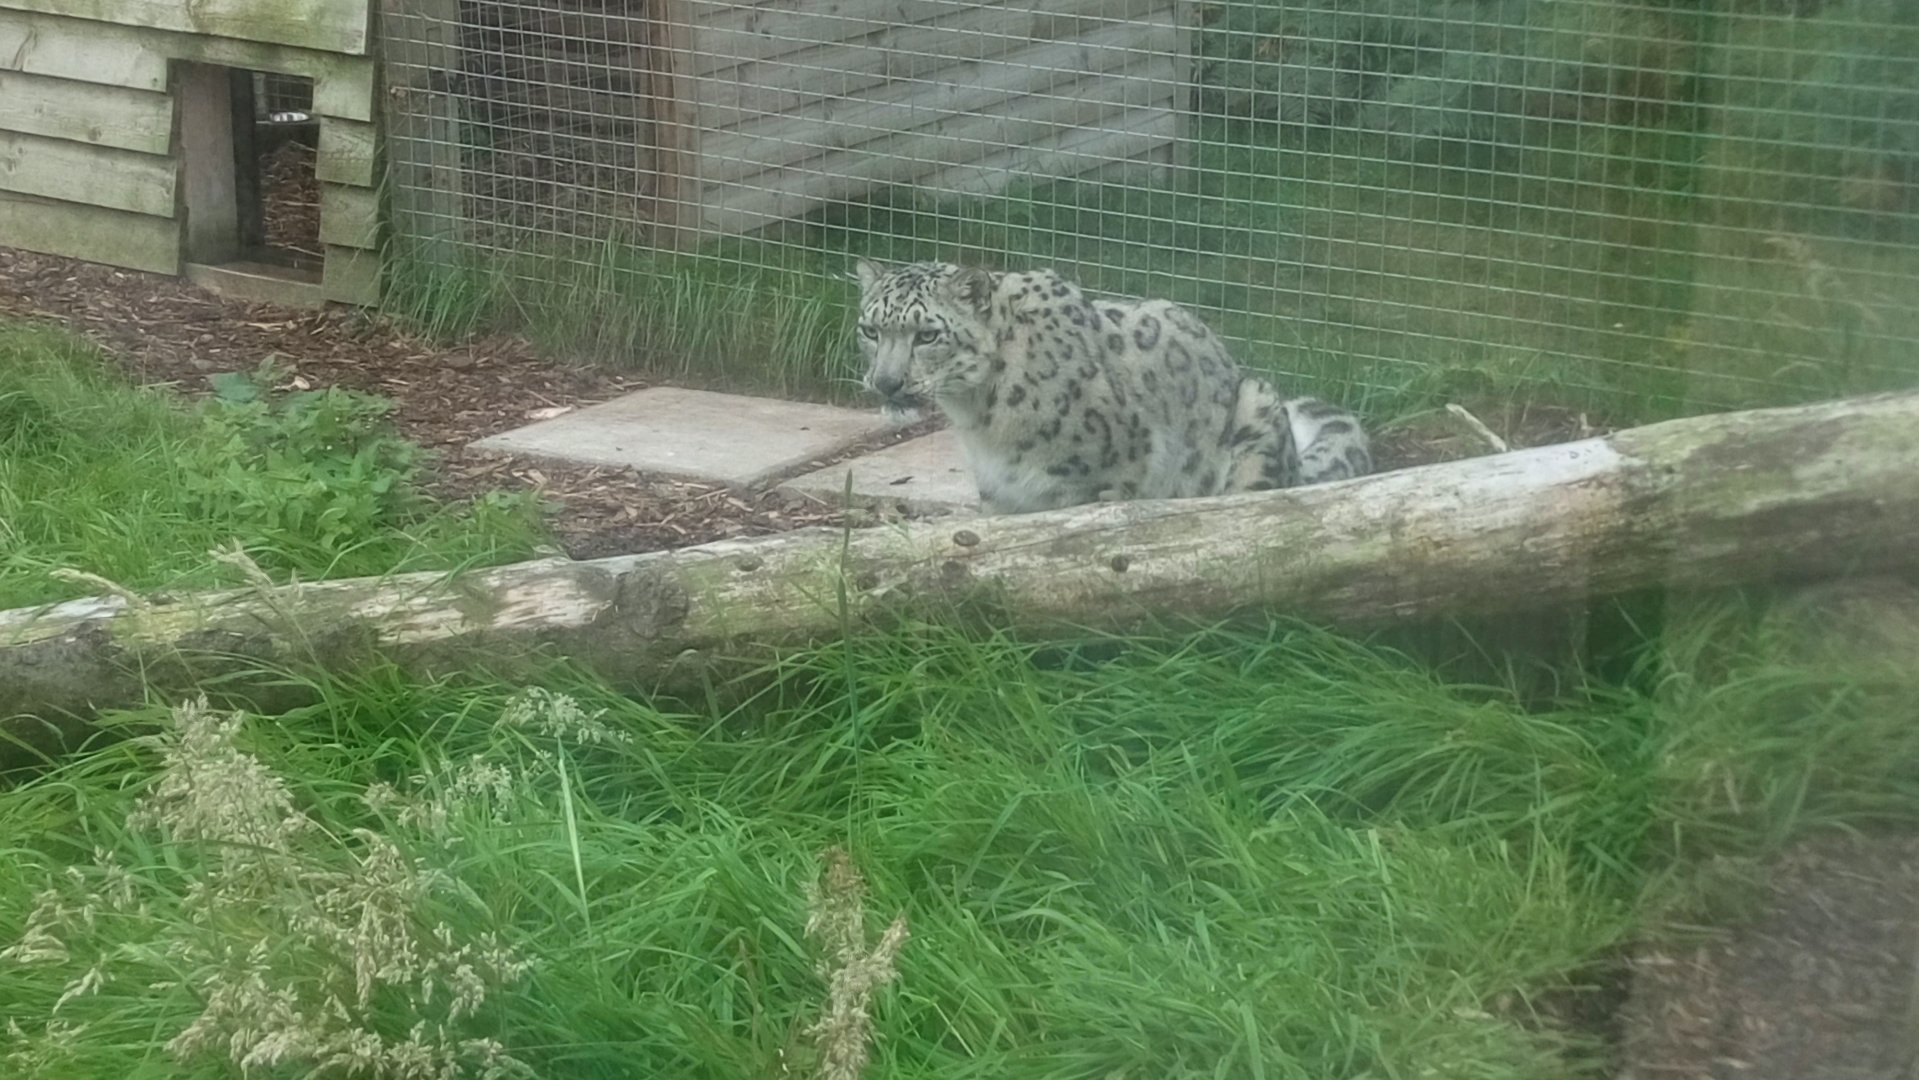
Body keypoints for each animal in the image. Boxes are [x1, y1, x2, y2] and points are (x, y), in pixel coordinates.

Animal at [851, 258, 1373, 516]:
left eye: (927, 335)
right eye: (870, 330)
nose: (886, 382)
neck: (978, 419)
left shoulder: (1103, 480)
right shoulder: (1001, 498)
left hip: (1256, 413)